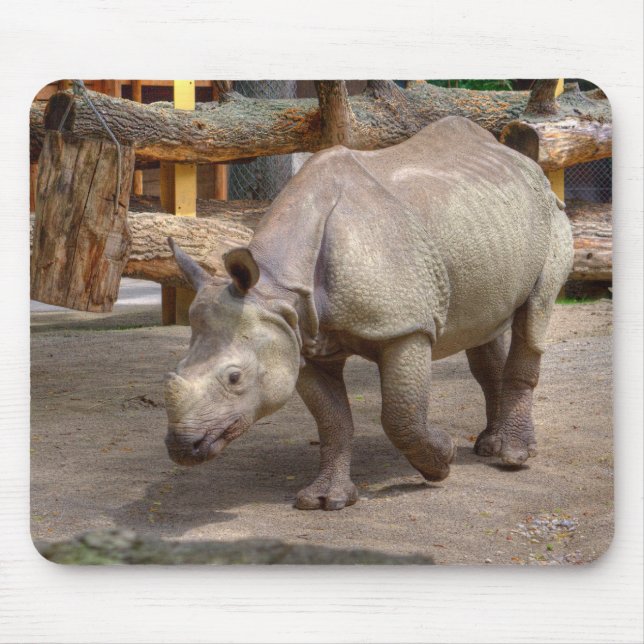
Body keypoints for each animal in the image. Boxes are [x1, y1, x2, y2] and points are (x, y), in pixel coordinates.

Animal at [163, 115, 573, 511]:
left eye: (234, 378)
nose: (181, 447)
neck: (276, 289)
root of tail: (526, 163)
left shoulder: (406, 327)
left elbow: (401, 416)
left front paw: (441, 461)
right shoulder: (299, 336)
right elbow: (332, 421)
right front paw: (326, 501)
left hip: (551, 216)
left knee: (533, 317)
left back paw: (512, 456)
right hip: (486, 223)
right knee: (485, 329)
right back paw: (489, 445)